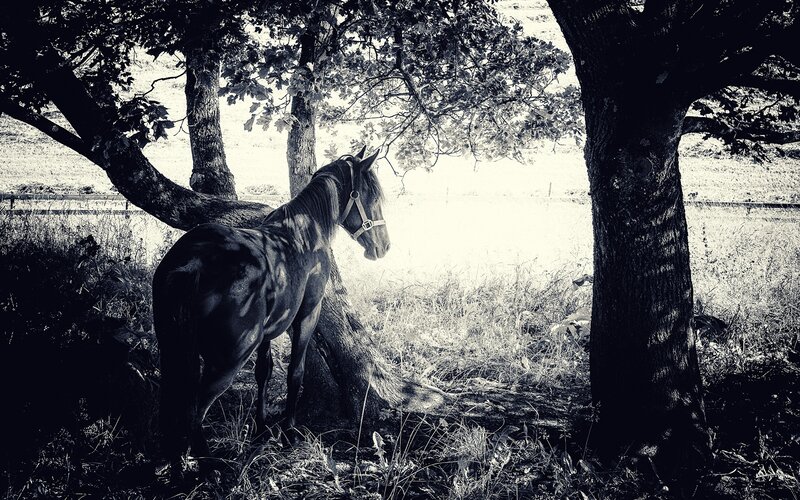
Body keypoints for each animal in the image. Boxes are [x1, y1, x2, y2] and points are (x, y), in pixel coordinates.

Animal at [152, 147, 390, 466]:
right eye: (373, 197)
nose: (383, 247)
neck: (304, 233)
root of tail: (194, 262)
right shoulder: (307, 314)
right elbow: (295, 372)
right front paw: (288, 431)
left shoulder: (267, 332)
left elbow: (263, 372)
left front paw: (260, 429)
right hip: (228, 361)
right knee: (194, 411)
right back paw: (208, 467)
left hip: (173, 349)